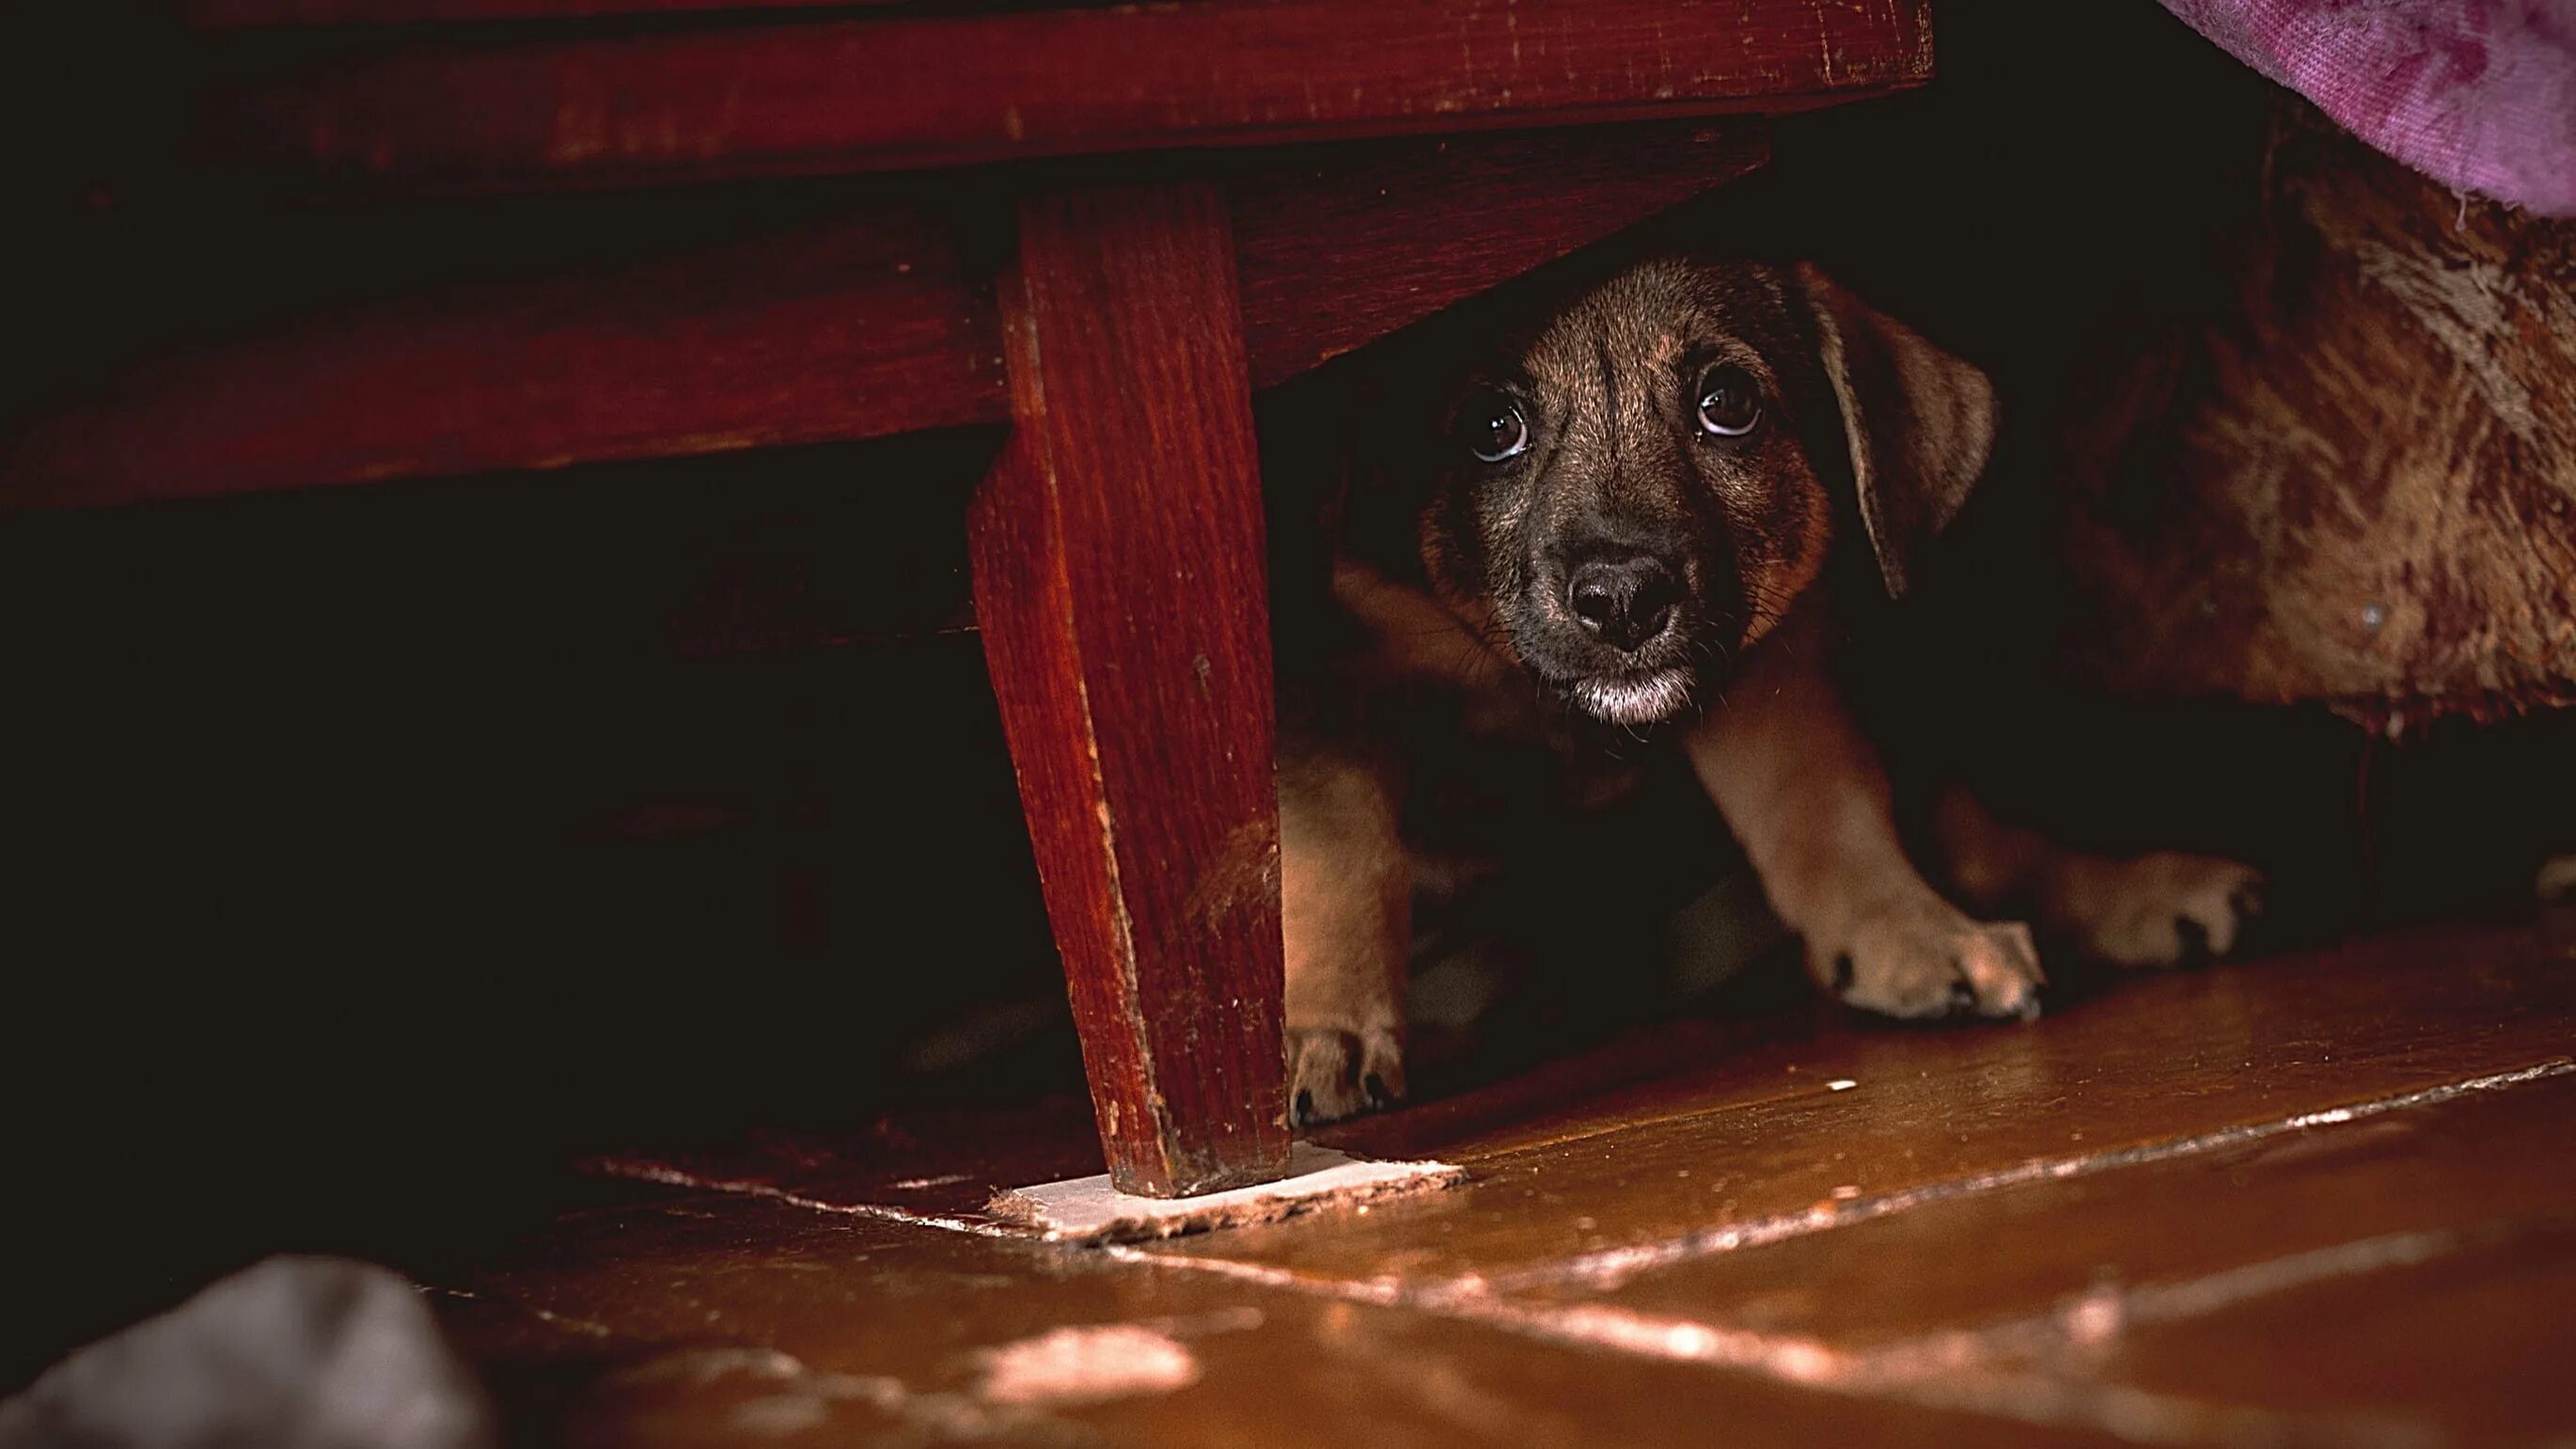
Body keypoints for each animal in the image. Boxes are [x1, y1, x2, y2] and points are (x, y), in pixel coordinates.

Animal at [1288, 256, 2050, 1119]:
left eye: (1729, 405)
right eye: (1492, 427)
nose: (1625, 599)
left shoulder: (1769, 674)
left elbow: (1825, 809)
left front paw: (1913, 928)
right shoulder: (1332, 677)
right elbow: (1341, 855)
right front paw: (1330, 1031)